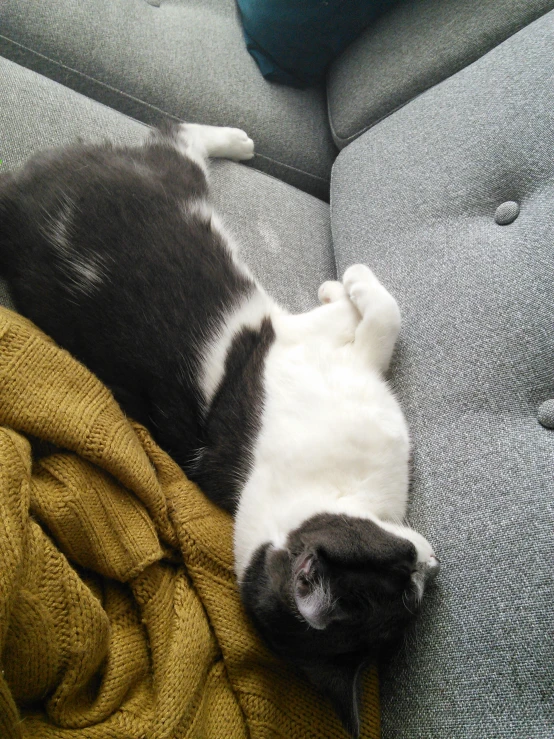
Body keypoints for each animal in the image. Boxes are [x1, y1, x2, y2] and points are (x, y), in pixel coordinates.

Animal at [1, 124, 436, 736]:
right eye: (403, 576)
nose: (430, 563)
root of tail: (13, 200)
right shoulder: (299, 339)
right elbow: (379, 315)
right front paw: (349, 283)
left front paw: (338, 288)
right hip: (172, 177)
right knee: (175, 137)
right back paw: (236, 141)